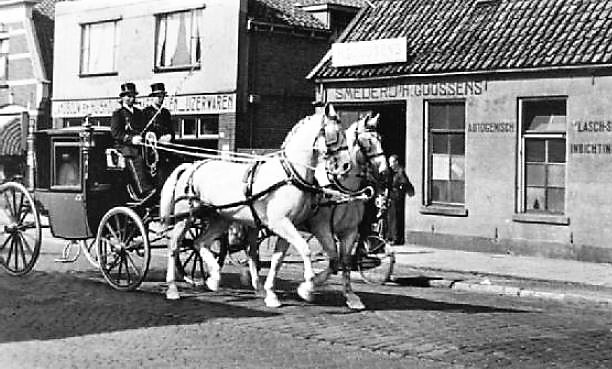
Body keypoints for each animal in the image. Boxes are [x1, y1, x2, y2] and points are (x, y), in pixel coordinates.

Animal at [160, 103, 352, 304]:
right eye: (335, 134)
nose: (346, 165)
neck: (290, 173)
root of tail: (192, 165)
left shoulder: (288, 225)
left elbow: (278, 259)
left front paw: (271, 293)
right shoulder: (280, 223)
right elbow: (305, 249)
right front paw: (307, 284)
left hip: (220, 218)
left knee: (199, 243)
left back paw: (213, 279)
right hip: (185, 218)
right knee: (174, 246)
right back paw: (172, 288)